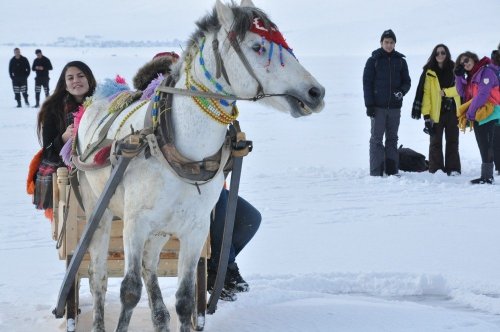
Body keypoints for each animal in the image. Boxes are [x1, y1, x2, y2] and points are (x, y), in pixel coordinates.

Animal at [74, 1, 324, 330]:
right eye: (257, 47)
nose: (316, 92)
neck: (182, 151)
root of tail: (95, 99)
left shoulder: (194, 228)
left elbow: (185, 299)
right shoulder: (135, 223)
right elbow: (129, 291)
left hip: (161, 230)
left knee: (149, 266)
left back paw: (160, 317)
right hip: (98, 211)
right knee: (98, 276)